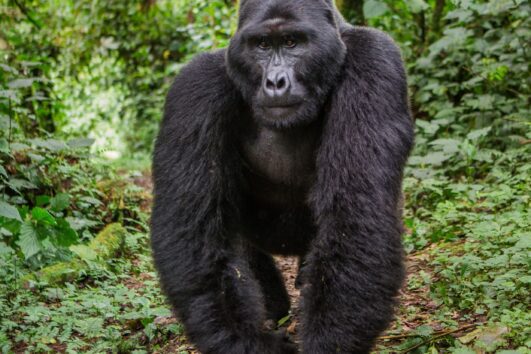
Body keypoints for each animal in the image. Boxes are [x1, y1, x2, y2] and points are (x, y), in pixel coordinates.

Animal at [152, 0, 414, 354]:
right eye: (262, 45)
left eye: (292, 42)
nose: (275, 82)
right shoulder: (196, 85)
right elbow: (194, 231)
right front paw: (251, 343)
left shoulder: (375, 59)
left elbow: (355, 213)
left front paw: (327, 343)